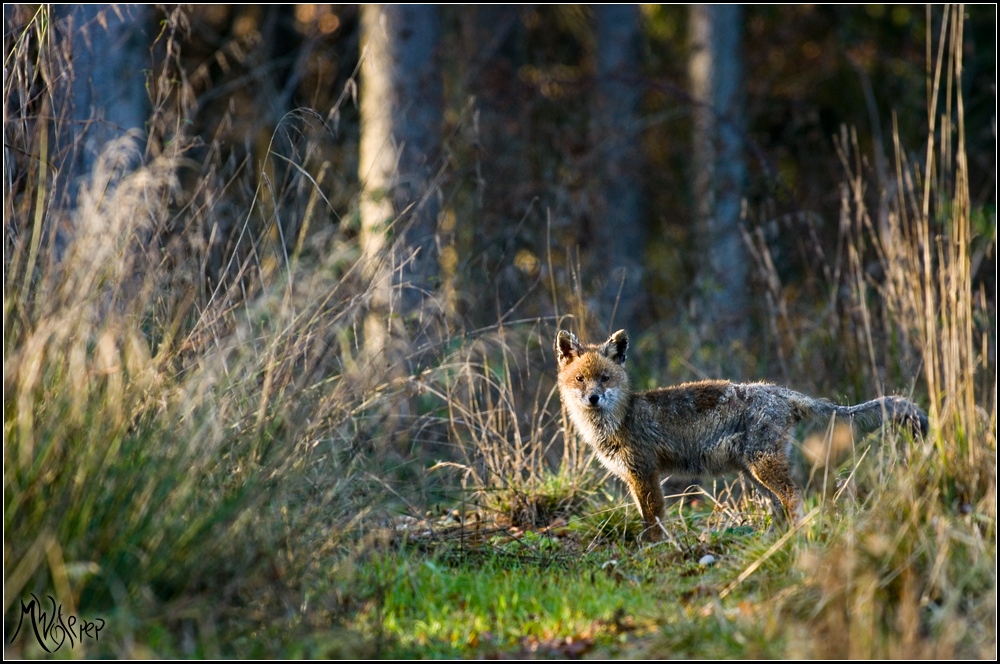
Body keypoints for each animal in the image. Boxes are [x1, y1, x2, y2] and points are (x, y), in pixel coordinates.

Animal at [552, 328, 924, 540]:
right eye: (580, 380)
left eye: (604, 378)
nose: (593, 398)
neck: (621, 419)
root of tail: (783, 392)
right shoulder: (636, 477)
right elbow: (648, 518)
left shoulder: (644, 474)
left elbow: (653, 521)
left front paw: (654, 551)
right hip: (753, 472)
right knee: (780, 505)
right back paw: (774, 541)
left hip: (762, 467)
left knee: (794, 496)